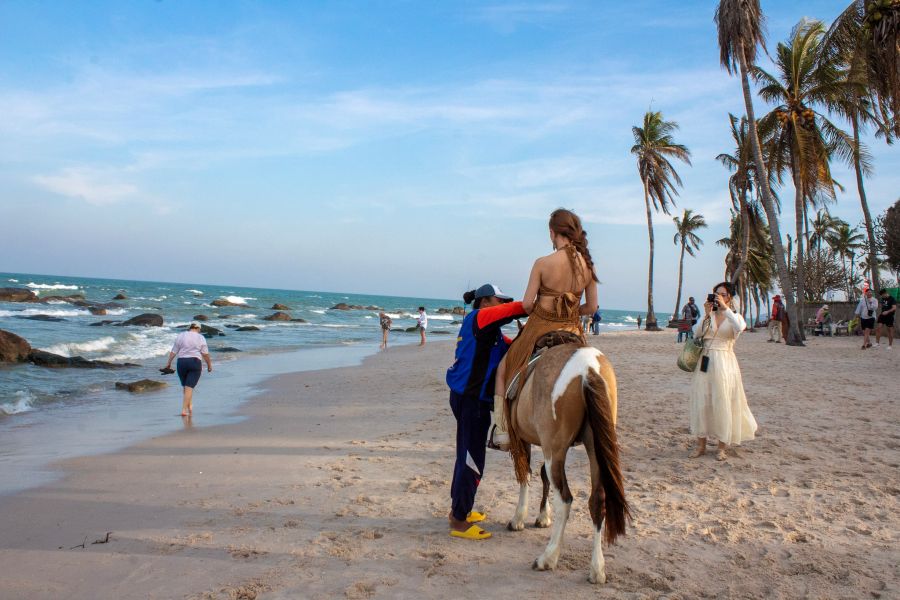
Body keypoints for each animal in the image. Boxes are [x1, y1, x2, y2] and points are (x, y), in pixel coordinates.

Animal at [502, 344, 628, 584]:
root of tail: (588, 369)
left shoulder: (525, 441)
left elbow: (526, 475)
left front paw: (519, 518)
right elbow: (541, 475)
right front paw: (543, 516)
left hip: (555, 450)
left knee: (565, 499)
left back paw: (548, 558)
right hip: (594, 448)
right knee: (597, 501)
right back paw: (597, 569)